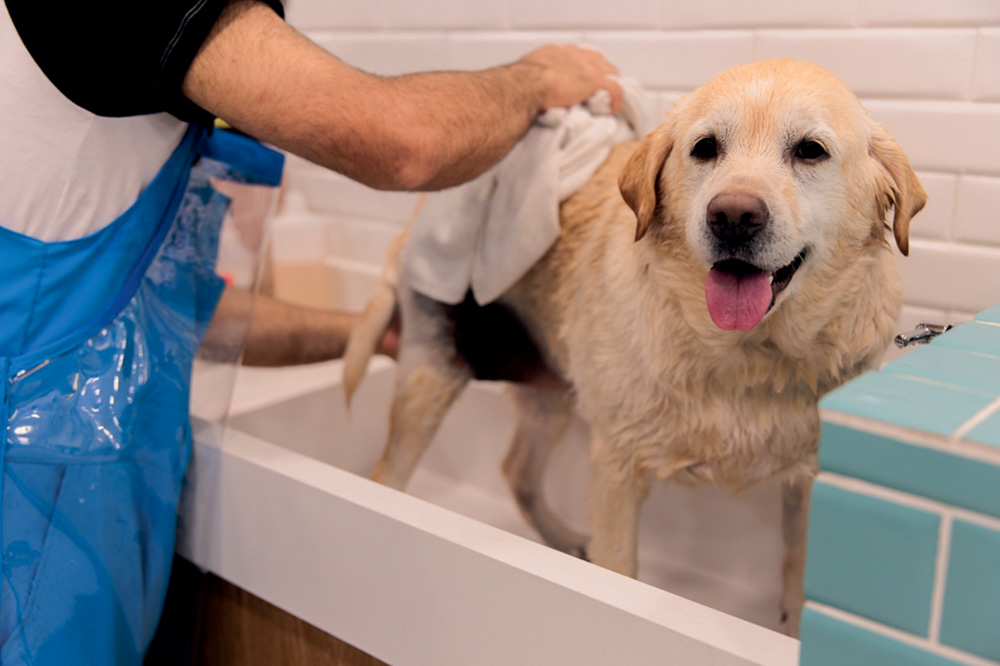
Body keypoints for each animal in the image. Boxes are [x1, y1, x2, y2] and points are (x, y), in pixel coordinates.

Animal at [342, 58, 920, 632]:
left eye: (810, 150)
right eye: (705, 147)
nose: (732, 216)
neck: (743, 353)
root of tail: (418, 214)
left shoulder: (811, 481)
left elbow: (801, 586)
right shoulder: (616, 468)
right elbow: (618, 570)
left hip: (553, 392)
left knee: (516, 471)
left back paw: (564, 540)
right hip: (432, 375)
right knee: (389, 473)